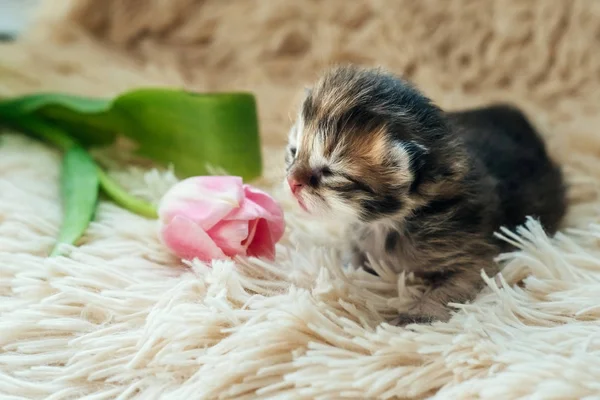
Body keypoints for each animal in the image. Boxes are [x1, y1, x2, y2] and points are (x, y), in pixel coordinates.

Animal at [284, 64, 568, 324]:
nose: (291, 181)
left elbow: (455, 286)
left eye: (329, 172)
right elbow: (353, 258)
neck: (387, 223)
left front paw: (417, 316)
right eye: (293, 152)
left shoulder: (475, 254)